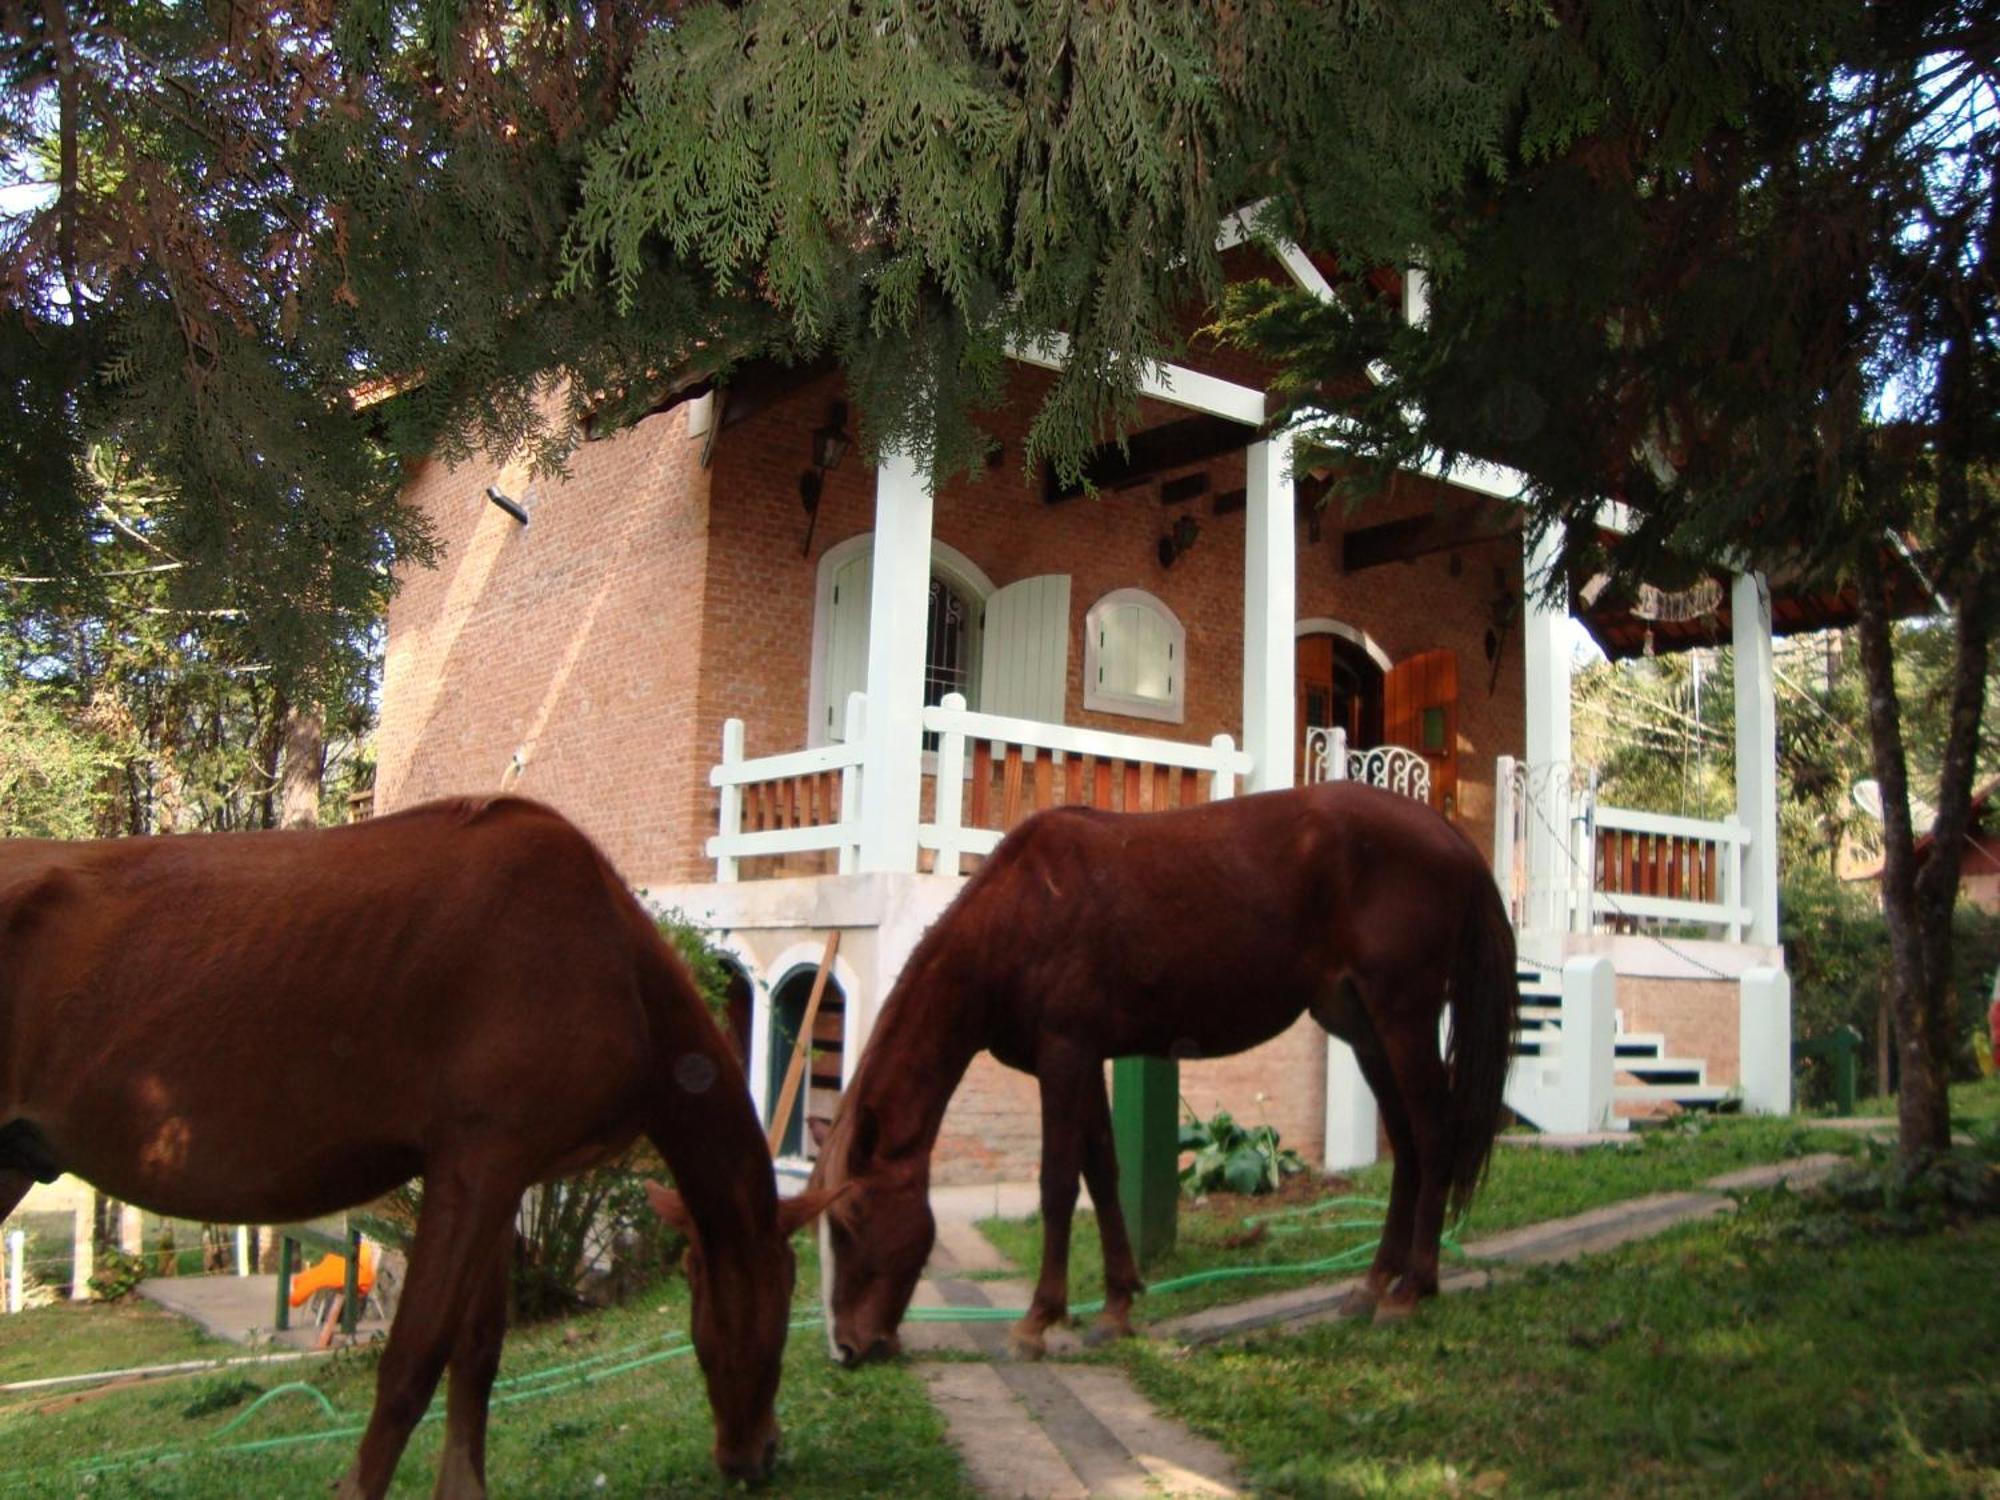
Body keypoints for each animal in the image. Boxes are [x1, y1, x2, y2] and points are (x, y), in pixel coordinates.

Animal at [0, 804, 828, 1500]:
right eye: (786, 1288)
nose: (757, 1453)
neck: (607, 957)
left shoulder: (504, 1176)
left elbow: (477, 1356)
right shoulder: (475, 1167)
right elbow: (411, 1364)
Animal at [808, 780, 1512, 1368]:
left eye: (848, 1224)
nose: (846, 1347)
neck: (1024, 910)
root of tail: (1449, 833)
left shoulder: (1064, 1056)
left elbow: (1057, 1184)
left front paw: (1037, 1320)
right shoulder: (1082, 1060)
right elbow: (1102, 1174)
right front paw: (1116, 1306)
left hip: (1403, 1020)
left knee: (1434, 1135)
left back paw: (1413, 1287)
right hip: (1364, 1028)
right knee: (1409, 1145)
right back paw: (1373, 1283)